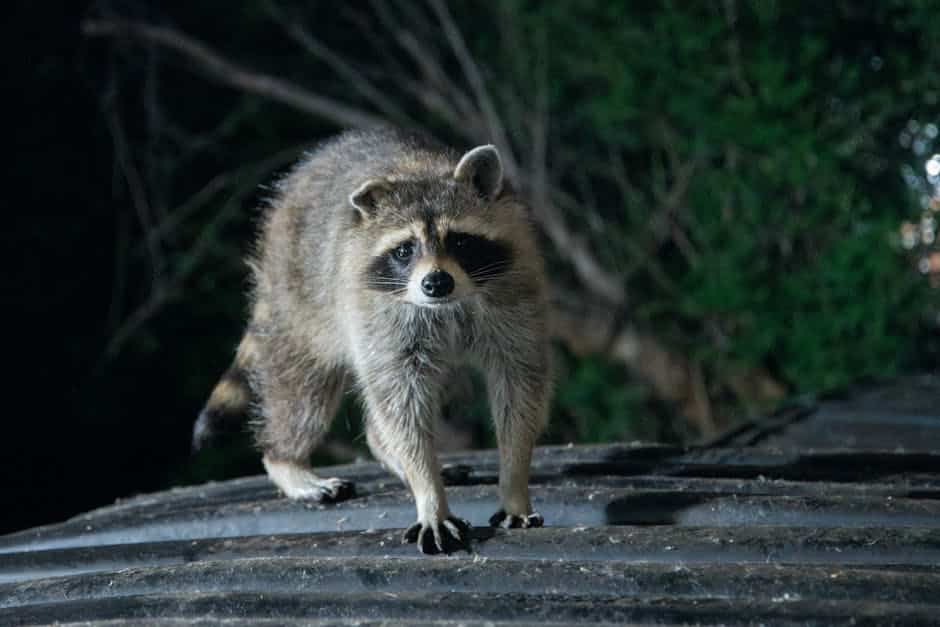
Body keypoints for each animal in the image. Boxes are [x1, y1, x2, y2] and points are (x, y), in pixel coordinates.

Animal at [194, 128, 552, 554]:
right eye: (404, 249)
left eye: (461, 241)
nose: (436, 283)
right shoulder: (380, 314)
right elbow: (400, 403)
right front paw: (429, 495)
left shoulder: (516, 293)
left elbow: (520, 386)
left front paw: (513, 483)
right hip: (300, 290)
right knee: (303, 391)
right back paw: (286, 460)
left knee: (446, 386)